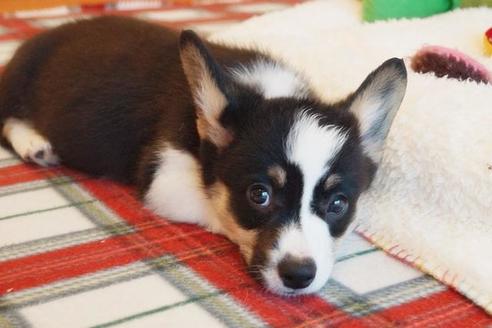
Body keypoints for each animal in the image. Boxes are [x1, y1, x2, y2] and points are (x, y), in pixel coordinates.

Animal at [0, 16, 408, 296]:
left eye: (338, 203)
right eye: (259, 195)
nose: (298, 276)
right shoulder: (164, 178)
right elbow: (216, 209)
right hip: (16, 84)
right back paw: (33, 143)